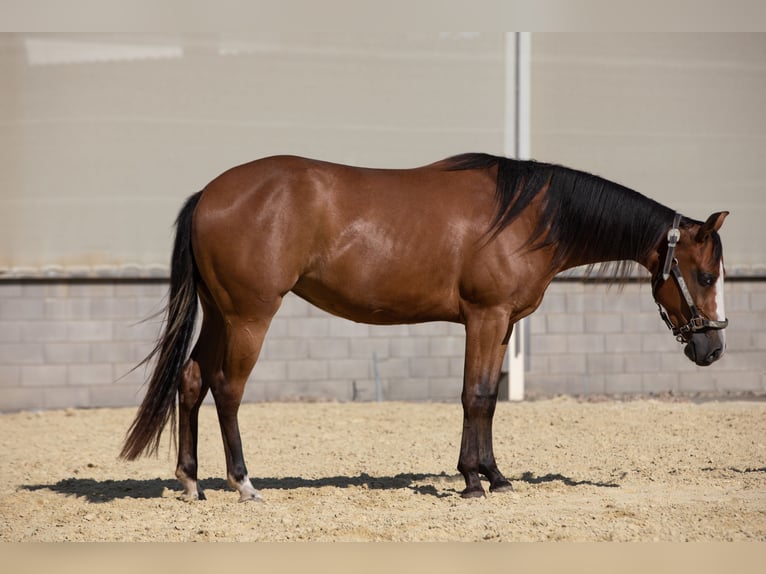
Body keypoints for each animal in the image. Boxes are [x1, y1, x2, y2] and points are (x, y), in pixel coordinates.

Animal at [120, 155, 732, 502]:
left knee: (192, 380)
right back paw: (244, 484)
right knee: (227, 388)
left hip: (220, 313)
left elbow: (488, 400)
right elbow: (474, 395)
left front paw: (495, 477)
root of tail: (210, 193)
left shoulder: (502, 324)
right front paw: (471, 482)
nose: (713, 347)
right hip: (249, 315)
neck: (530, 216)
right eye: (704, 274)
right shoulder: (484, 317)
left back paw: (192, 482)